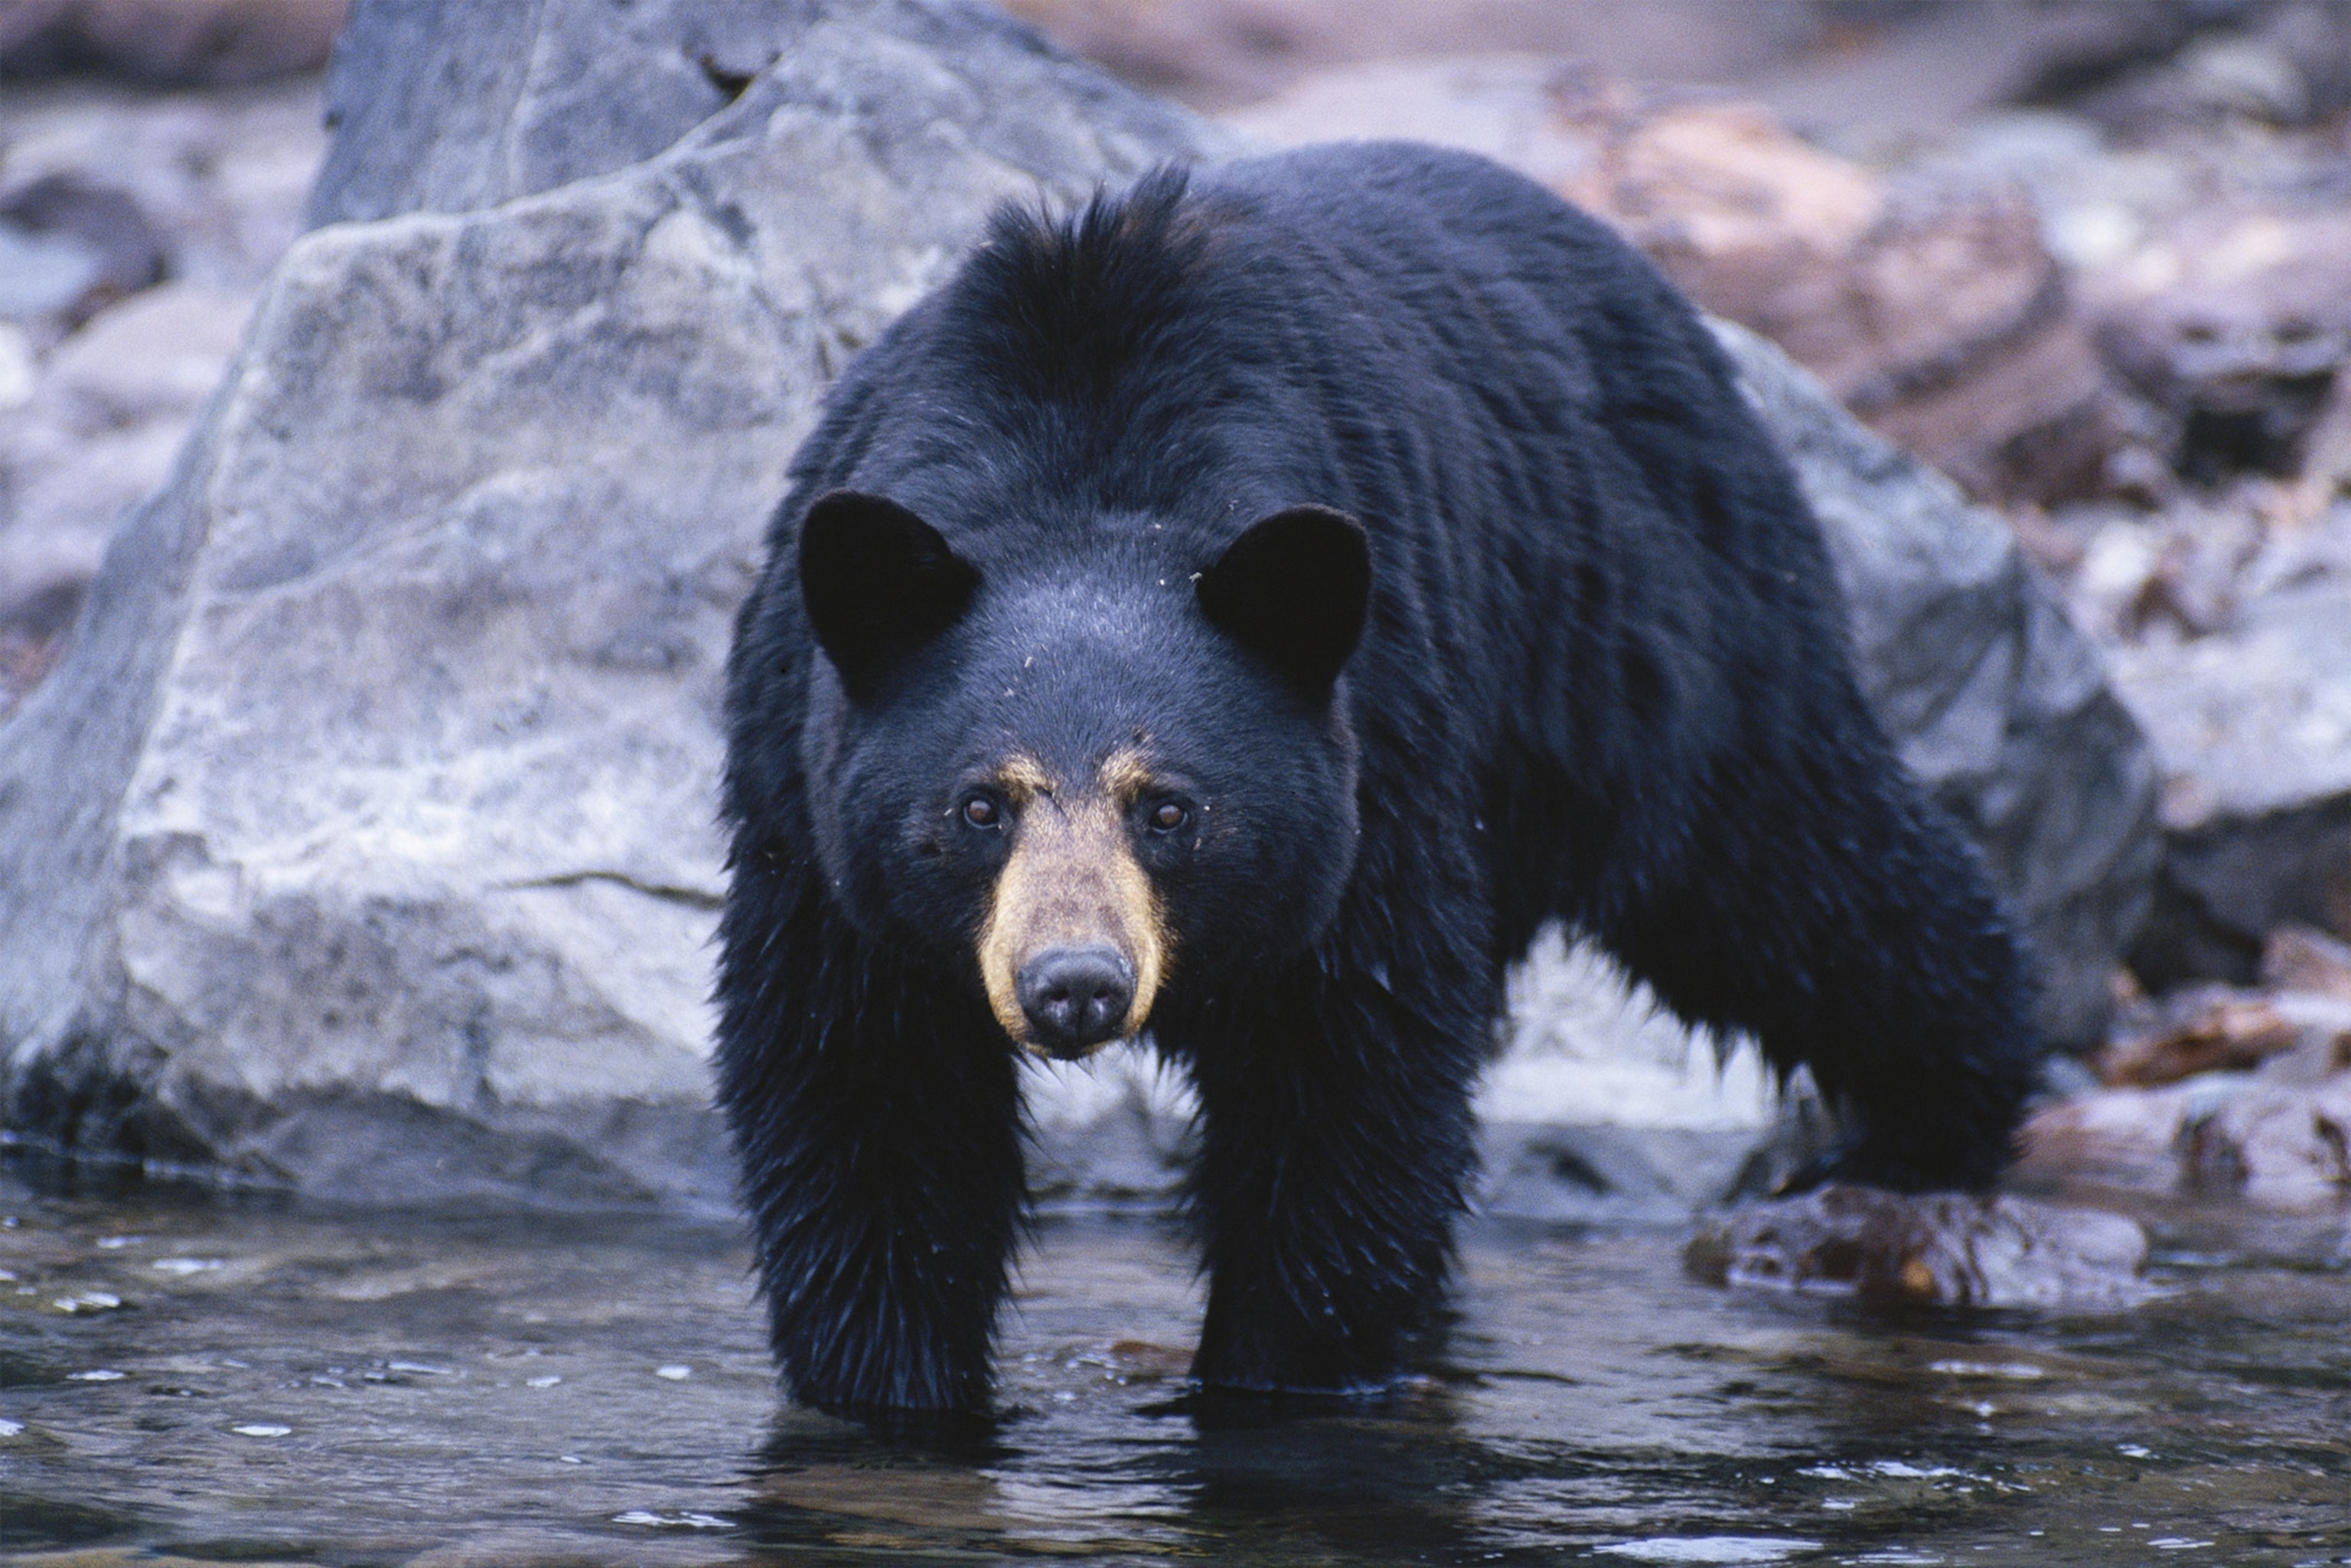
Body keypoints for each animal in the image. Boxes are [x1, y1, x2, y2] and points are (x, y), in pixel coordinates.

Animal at [715, 141, 2042, 1415]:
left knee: (1799, 880)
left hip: (1658, 643)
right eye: (980, 804)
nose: (1076, 985)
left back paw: (1930, 1124)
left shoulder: (1382, 765)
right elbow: (867, 1102)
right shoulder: (809, 816)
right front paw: (893, 1392)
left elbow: (1348, 1089)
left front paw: (1277, 1377)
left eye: (1171, 808)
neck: (1084, 470)